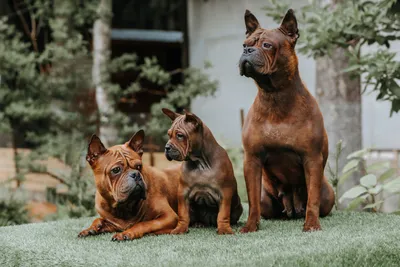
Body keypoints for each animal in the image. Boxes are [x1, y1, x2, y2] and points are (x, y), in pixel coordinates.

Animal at [239, 9, 336, 233]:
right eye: (244, 43)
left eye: (267, 45)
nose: (247, 50)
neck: (275, 95)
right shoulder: (252, 159)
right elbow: (252, 199)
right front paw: (250, 226)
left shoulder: (311, 158)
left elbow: (313, 198)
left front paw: (311, 224)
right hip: (267, 200)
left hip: (329, 194)